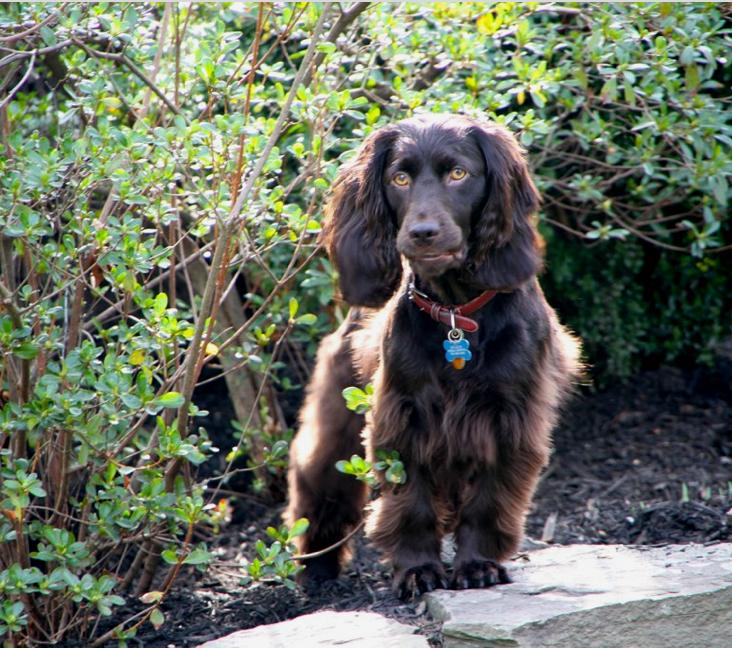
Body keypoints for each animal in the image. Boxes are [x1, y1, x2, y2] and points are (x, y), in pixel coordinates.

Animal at [284, 114, 576, 600]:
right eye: (399, 179)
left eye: (458, 173)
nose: (422, 233)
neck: (455, 313)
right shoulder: (401, 417)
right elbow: (411, 502)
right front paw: (419, 569)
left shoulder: (511, 418)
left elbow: (489, 500)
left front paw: (477, 564)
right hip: (338, 417)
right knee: (320, 482)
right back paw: (316, 566)